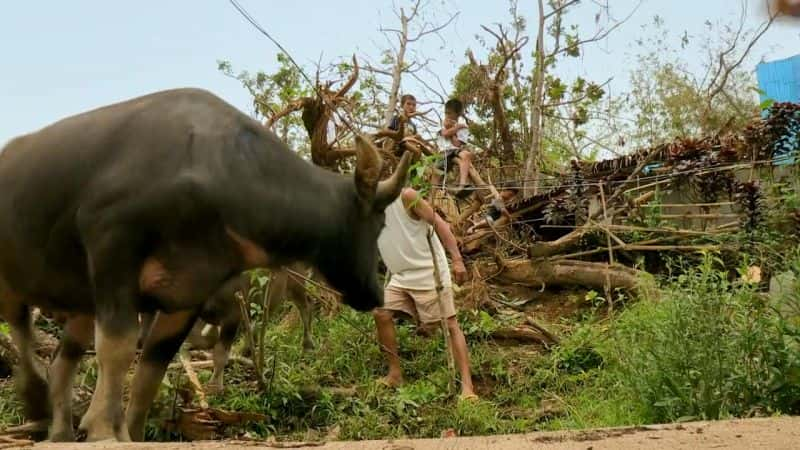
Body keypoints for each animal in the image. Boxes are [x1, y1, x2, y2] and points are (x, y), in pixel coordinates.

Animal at [0, 86, 412, 442]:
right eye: (379, 223)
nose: (374, 292)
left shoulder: (189, 292)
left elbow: (152, 369)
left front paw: (130, 432)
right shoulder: (112, 246)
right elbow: (118, 348)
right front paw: (103, 430)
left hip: (83, 302)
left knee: (62, 359)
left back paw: (59, 431)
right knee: (21, 330)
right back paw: (34, 399)